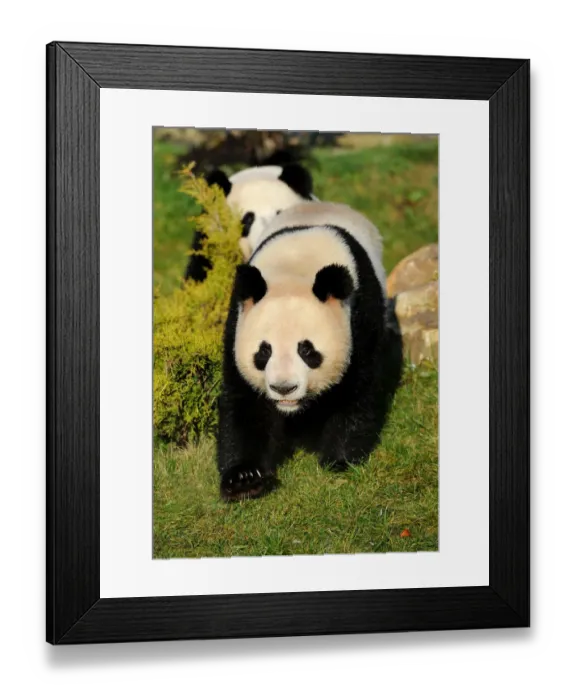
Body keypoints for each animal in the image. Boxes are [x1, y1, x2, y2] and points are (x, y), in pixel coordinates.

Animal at [217, 201, 404, 502]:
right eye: (263, 352)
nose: (284, 388)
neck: (295, 266)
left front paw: (339, 459)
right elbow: (244, 402)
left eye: (307, 350)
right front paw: (245, 478)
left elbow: (356, 389)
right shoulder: (238, 320)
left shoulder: (359, 316)